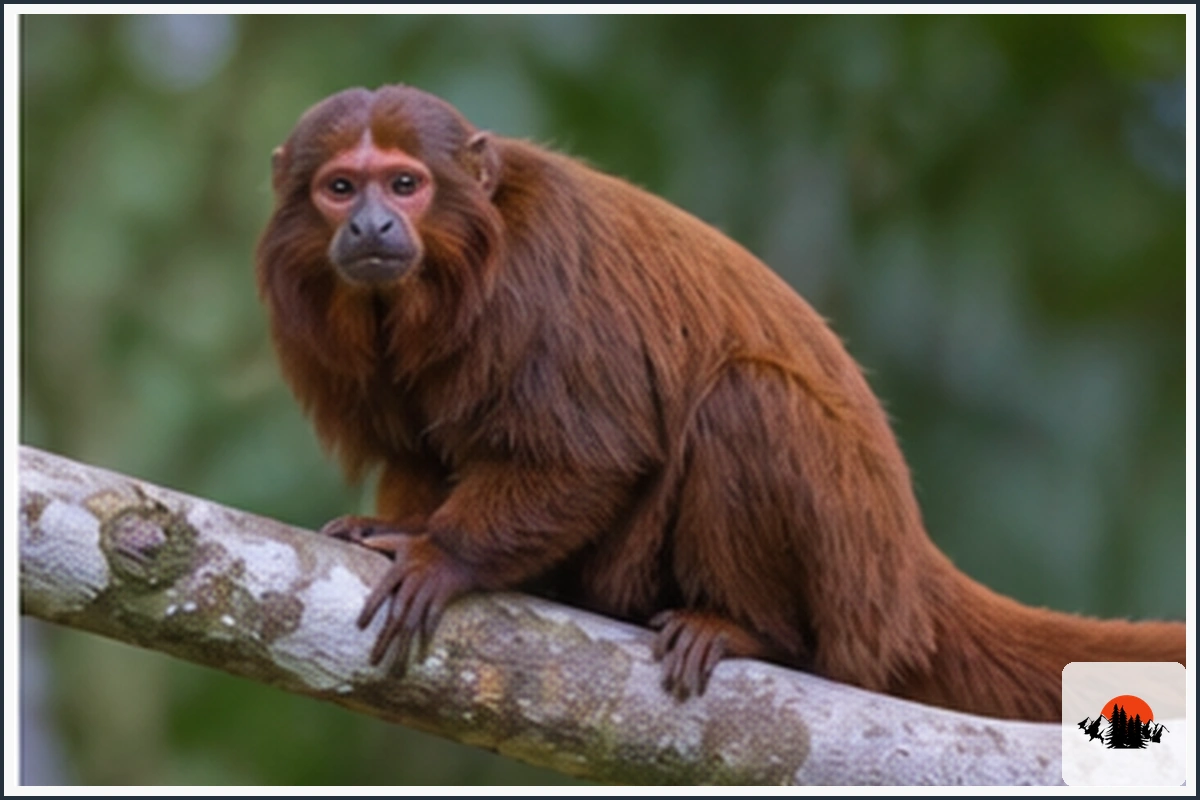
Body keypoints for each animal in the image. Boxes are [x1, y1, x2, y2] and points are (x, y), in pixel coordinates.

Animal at [256, 84, 1185, 723]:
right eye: (340, 189)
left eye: (404, 184)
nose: (372, 227)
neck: (446, 275)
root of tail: (905, 563)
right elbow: (417, 452)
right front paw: (398, 525)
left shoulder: (532, 279)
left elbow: (588, 452)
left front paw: (440, 557)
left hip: (847, 585)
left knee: (747, 399)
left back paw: (747, 631)